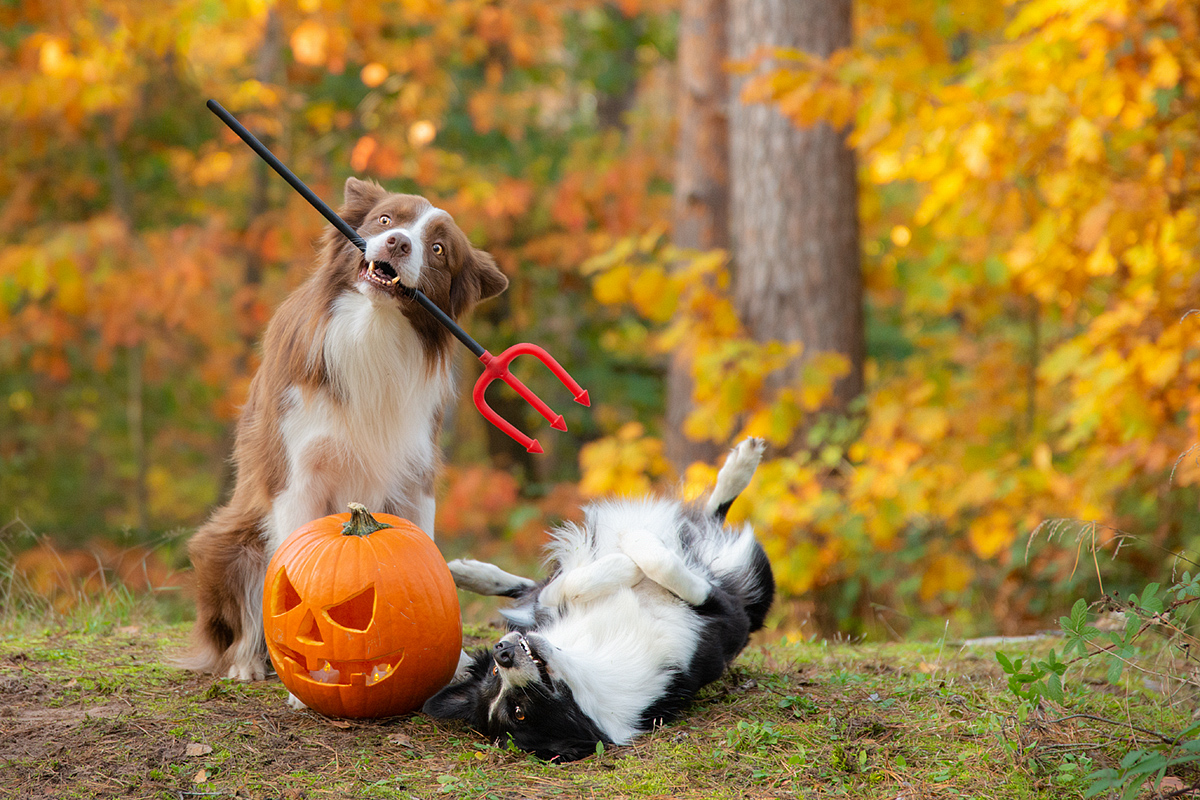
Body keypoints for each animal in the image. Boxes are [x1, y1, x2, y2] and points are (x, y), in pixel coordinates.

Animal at [182, 179, 506, 681]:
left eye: (437, 249)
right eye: (386, 220)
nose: (398, 244)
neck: (373, 329)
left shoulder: (415, 478)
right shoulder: (297, 477)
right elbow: (294, 582)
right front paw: (306, 683)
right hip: (227, 543)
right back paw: (248, 663)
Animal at [427, 438, 772, 762]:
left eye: (494, 674)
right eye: (518, 712)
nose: (502, 654)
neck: (589, 657)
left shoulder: (548, 606)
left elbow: (567, 584)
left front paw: (623, 561)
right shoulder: (728, 618)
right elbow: (662, 564)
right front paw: (630, 557)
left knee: (712, 512)